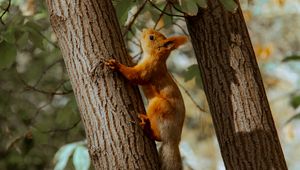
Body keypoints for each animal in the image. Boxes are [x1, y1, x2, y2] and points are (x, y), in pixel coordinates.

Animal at [106, 28, 188, 169]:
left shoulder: (149, 70)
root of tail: (173, 140)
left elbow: (136, 76)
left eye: (151, 37)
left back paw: (147, 126)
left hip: (159, 106)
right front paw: (128, 54)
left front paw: (117, 66)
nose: (144, 30)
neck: (156, 57)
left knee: (158, 136)